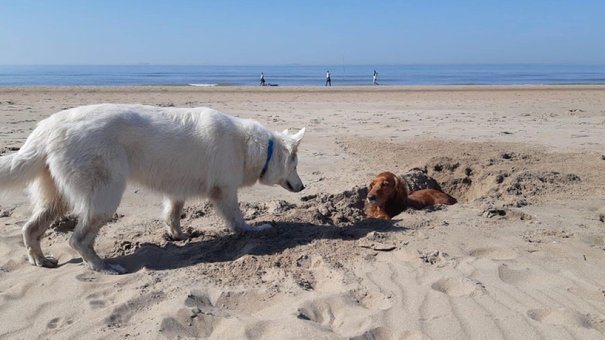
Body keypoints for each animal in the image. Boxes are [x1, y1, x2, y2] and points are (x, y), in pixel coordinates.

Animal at [0, 103, 304, 274]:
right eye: (296, 164)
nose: (303, 186)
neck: (253, 147)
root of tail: (47, 127)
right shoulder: (225, 192)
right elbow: (238, 219)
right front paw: (255, 230)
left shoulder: (177, 191)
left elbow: (172, 214)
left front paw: (178, 236)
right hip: (105, 197)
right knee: (77, 239)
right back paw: (103, 267)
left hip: (57, 199)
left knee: (30, 229)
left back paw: (40, 261)